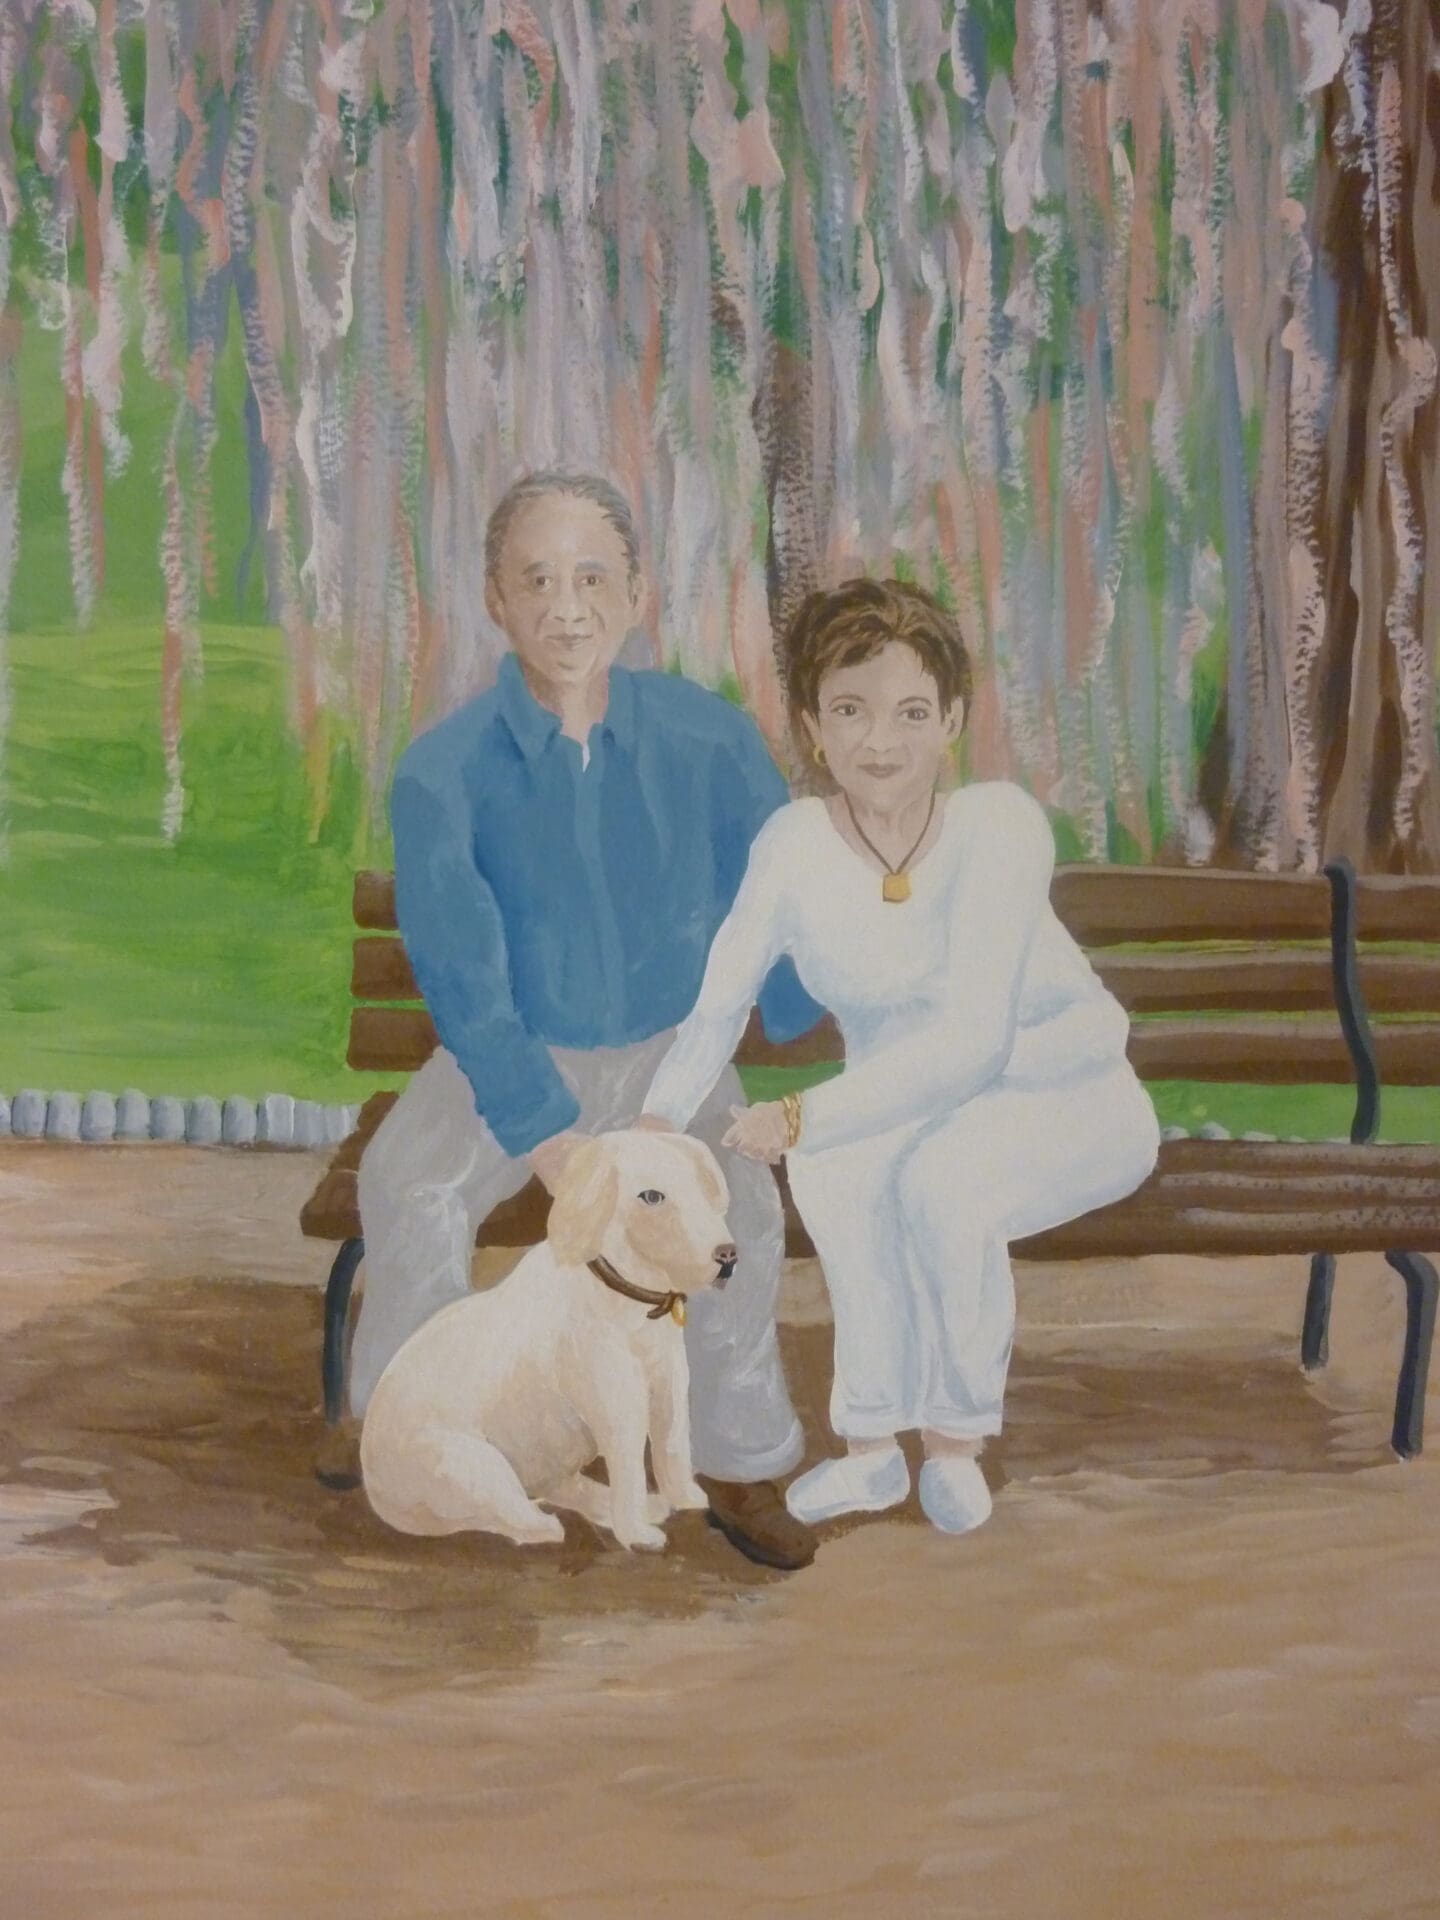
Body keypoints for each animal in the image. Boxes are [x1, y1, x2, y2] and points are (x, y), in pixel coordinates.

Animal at [362, 1128, 733, 1551]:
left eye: (703, 1186)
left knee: (562, 1489)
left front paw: (685, 1497)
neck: (629, 1303)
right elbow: (630, 1470)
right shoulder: (618, 1406)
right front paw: (636, 1535)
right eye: (652, 1196)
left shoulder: (669, 1386)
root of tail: (376, 1491)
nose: (728, 1256)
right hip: (470, 1463)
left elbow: (672, 1448)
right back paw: (551, 1524)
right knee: (511, 1518)